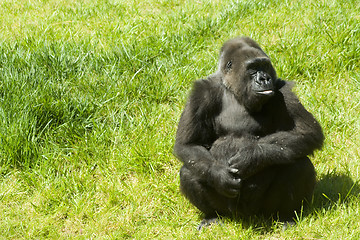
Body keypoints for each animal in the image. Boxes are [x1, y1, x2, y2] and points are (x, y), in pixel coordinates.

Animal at [173, 36, 324, 230]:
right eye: (253, 68)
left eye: (265, 66)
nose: (265, 78)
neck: (233, 89)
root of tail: (244, 217)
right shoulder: (201, 93)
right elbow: (188, 144)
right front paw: (220, 175)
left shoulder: (282, 91)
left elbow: (307, 132)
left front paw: (251, 157)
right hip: (229, 210)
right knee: (190, 170)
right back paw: (213, 215)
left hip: (262, 211)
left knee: (298, 164)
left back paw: (286, 215)